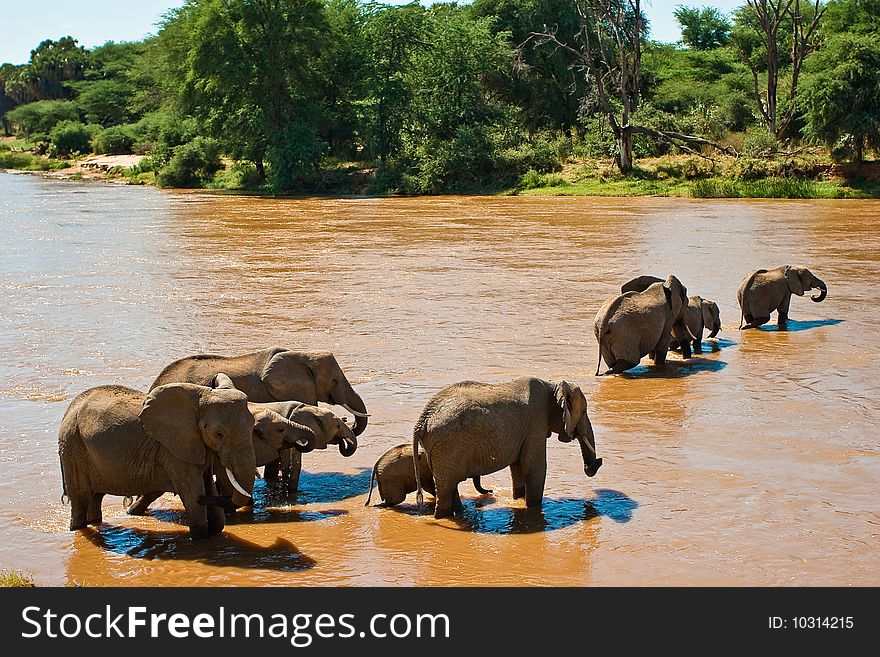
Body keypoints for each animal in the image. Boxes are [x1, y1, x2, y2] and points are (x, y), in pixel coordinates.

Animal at [57, 374, 256, 540]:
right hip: (72, 446)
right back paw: (77, 528)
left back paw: (96, 523)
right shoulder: (173, 450)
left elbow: (209, 490)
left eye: (253, 426)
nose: (203, 498)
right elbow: (191, 494)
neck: (199, 401)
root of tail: (70, 409)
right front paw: (200, 533)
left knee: (96, 496)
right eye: (219, 434)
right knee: (81, 498)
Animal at [410, 376, 600, 520]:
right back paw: (443, 518)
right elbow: (534, 467)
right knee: (446, 487)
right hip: (448, 445)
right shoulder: (536, 423)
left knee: (450, 484)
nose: (594, 464)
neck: (552, 384)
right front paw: (533, 508)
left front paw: (518, 500)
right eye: (584, 412)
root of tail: (422, 420)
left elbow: (518, 468)